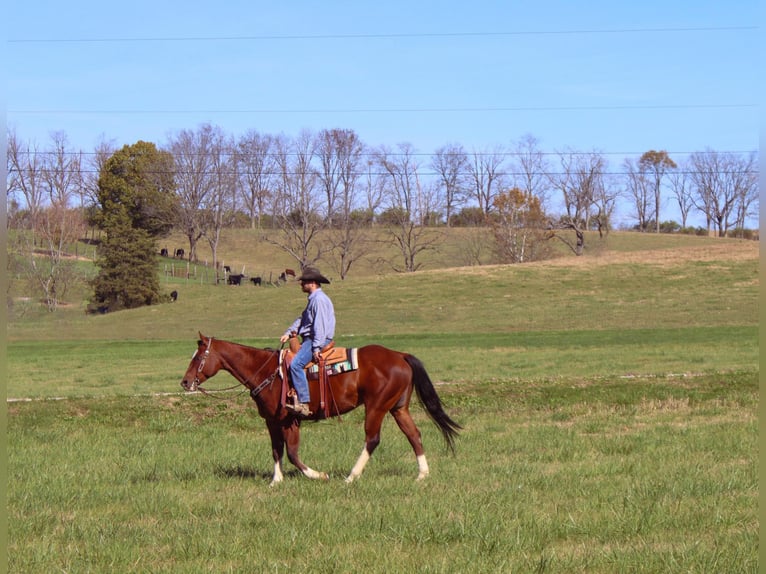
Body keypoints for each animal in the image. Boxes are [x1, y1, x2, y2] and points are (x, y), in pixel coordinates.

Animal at [182, 332, 462, 486]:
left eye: (198, 357)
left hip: (377, 407)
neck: (268, 371)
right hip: (398, 408)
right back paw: (422, 475)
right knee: (414, 435)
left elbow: (293, 454)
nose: (185, 382)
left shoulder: (290, 420)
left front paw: (318, 475)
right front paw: (276, 481)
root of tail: (399, 354)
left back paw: (351, 477)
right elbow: (276, 450)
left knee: (372, 439)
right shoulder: (271, 421)